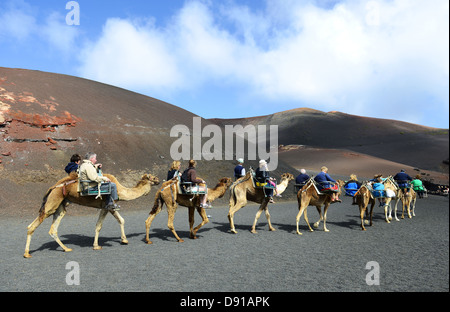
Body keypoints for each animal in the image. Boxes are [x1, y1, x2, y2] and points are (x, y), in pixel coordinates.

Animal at [24, 172, 160, 258]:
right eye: (153, 177)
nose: (159, 180)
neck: (120, 190)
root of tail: (52, 187)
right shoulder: (106, 206)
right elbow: (99, 226)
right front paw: (96, 246)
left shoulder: (110, 206)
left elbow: (121, 220)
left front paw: (124, 240)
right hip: (53, 201)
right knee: (33, 225)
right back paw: (27, 254)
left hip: (61, 204)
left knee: (53, 228)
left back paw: (66, 248)